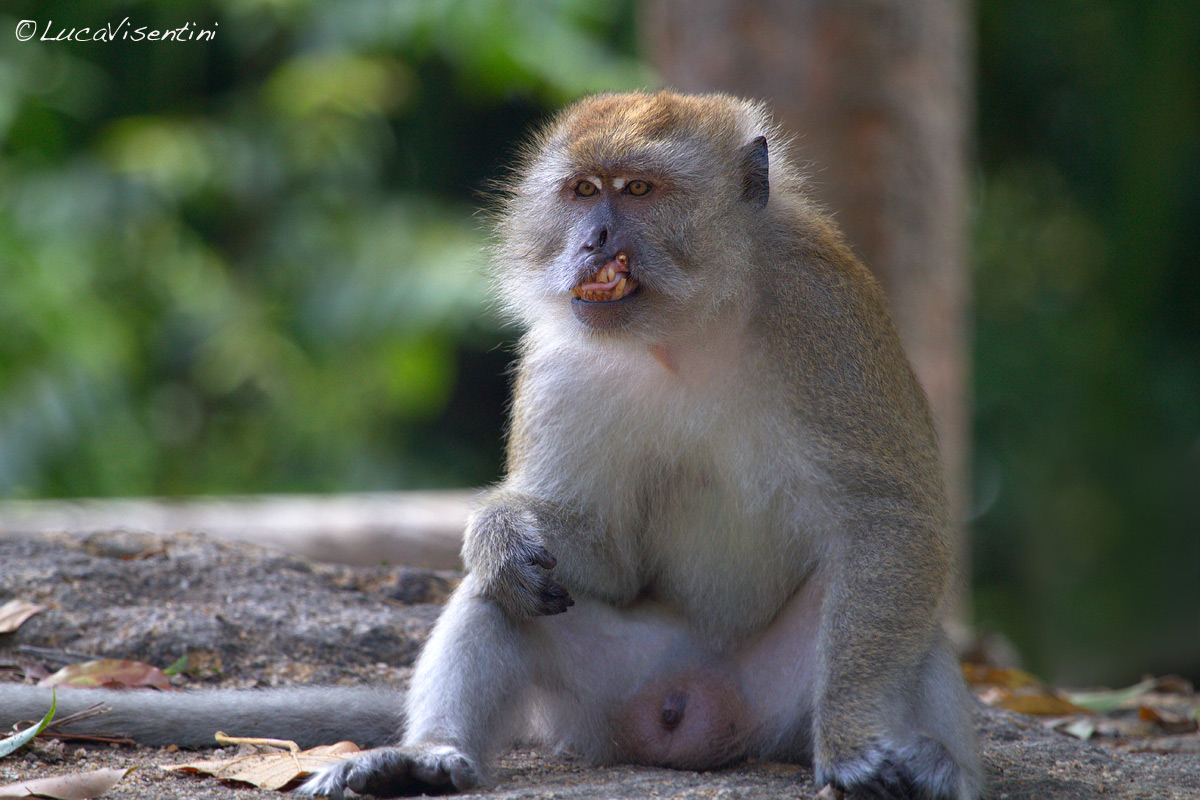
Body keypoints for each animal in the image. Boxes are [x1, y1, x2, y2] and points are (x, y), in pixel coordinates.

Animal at [0, 91, 981, 800]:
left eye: (639, 191)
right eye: (582, 192)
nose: (593, 242)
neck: (687, 332)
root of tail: (695, 715)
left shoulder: (828, 321)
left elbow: (892, 525)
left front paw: (855, 744)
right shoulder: (561, 362)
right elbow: (595, 553)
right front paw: (502, 529)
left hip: (777, 702)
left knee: (905, 621)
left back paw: (942, 768)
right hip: (596, 701)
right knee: (501, 597)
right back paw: (430, 757)